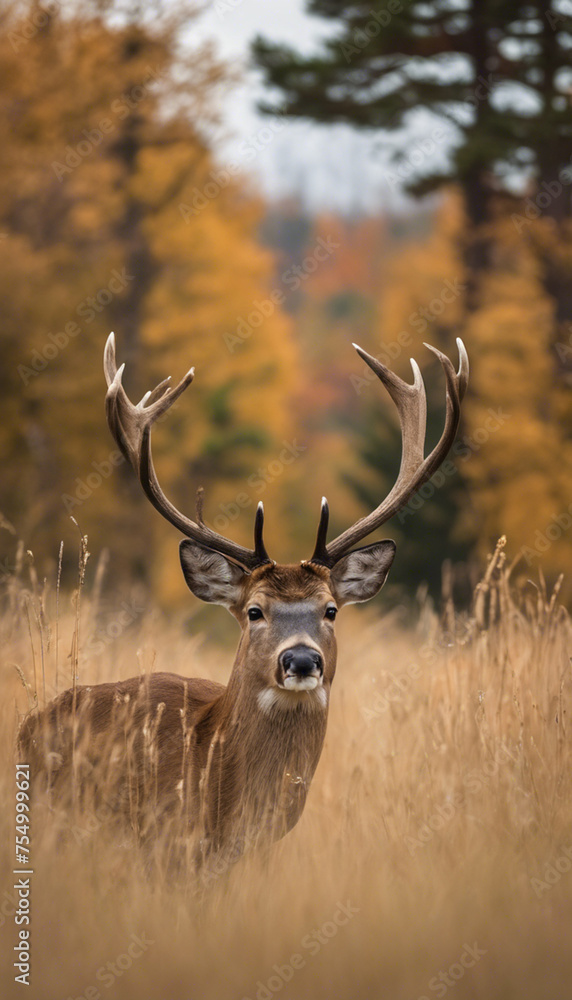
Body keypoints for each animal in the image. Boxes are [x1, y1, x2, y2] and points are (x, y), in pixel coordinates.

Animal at [19, 332, 468, 879]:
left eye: (330, 610)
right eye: (255, 611)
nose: (302, 659)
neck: (223, 802)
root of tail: (31, 722)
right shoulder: (161, 849)